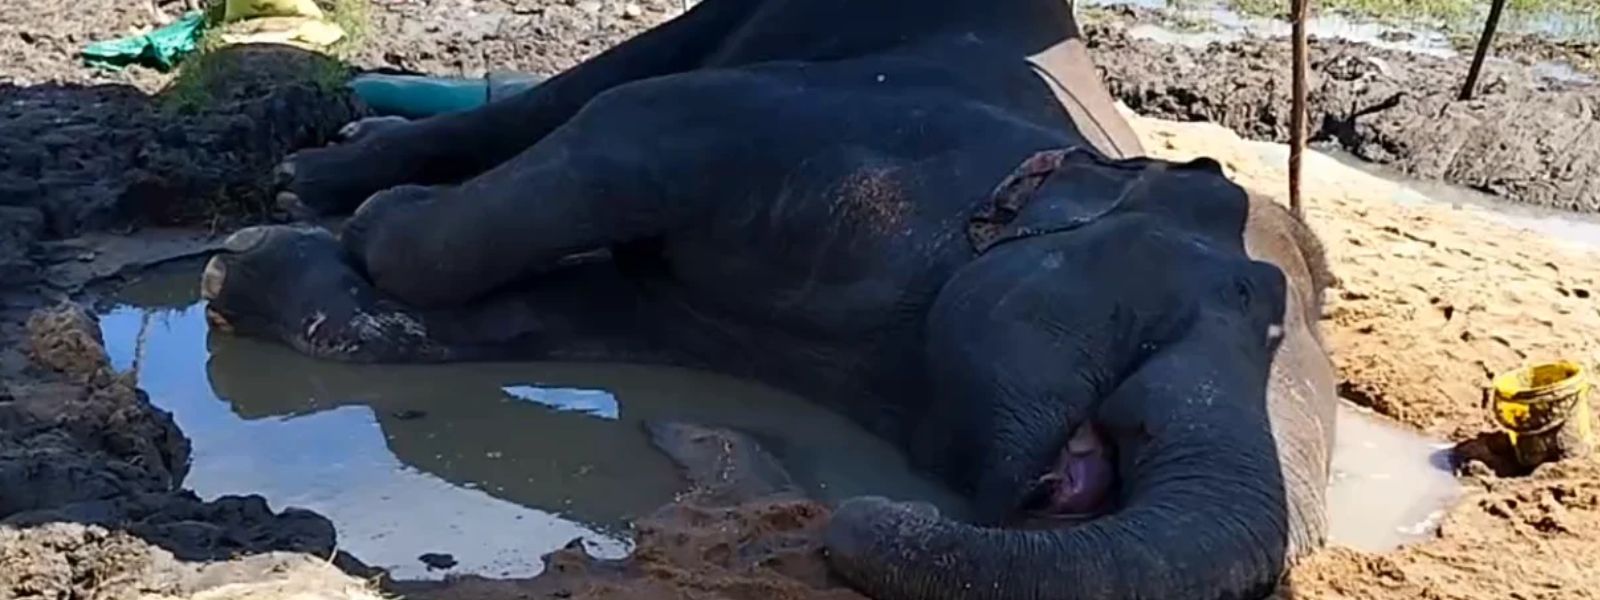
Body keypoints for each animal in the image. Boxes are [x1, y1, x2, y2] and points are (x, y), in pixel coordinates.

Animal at [198, 0, 1340, 597]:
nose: (853, 517)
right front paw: (360, 227)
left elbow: (561, 311)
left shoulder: (698, 319)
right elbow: (625, 132)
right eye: (1238, 293)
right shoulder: (806, 134)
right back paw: (327, 171)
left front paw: (250, 270)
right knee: (593, 88)